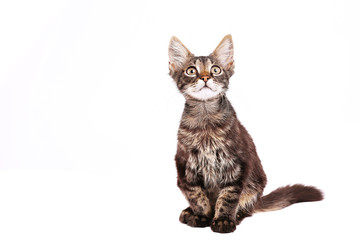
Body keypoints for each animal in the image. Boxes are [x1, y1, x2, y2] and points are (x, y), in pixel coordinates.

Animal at [169, 34, 324, 233]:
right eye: (191, 71)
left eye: (216, 69)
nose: (205, 77)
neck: (206, 119)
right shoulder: (185, 166)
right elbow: (197, 196)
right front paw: (201, 215)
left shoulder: (236, 166)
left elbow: (228, 197)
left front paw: (223, 220)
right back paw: (189, 212)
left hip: (255, 186)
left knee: (246, 207)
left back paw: (236, 215)